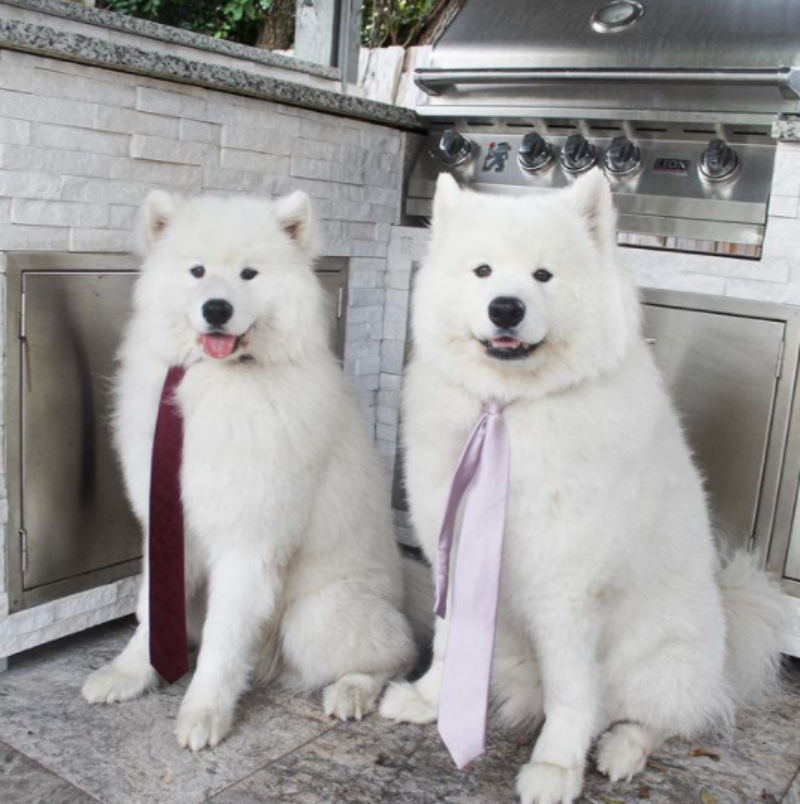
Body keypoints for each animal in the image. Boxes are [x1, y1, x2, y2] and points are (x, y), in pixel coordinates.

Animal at [83, 188, 416, 748]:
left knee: (399, 654)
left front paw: (203, 713)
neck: (218, 379)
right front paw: (129, 674)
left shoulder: (248, 542)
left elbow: (222, 639)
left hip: (315, 617)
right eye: (197, 271)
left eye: (249, 274)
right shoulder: (167, 528)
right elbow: (150, 609)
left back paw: (353, 692)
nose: (216, 308)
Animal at [382, 173, 788, 800]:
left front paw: (554, 768)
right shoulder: (452, 549)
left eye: (543, 275)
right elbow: (450, 642)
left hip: (657, 661)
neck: (510, 408)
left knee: (659, 720)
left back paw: (619, 751)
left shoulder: (567, 588)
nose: (506, 308)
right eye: (482, 271)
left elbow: (572, 692)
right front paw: (428, 701)